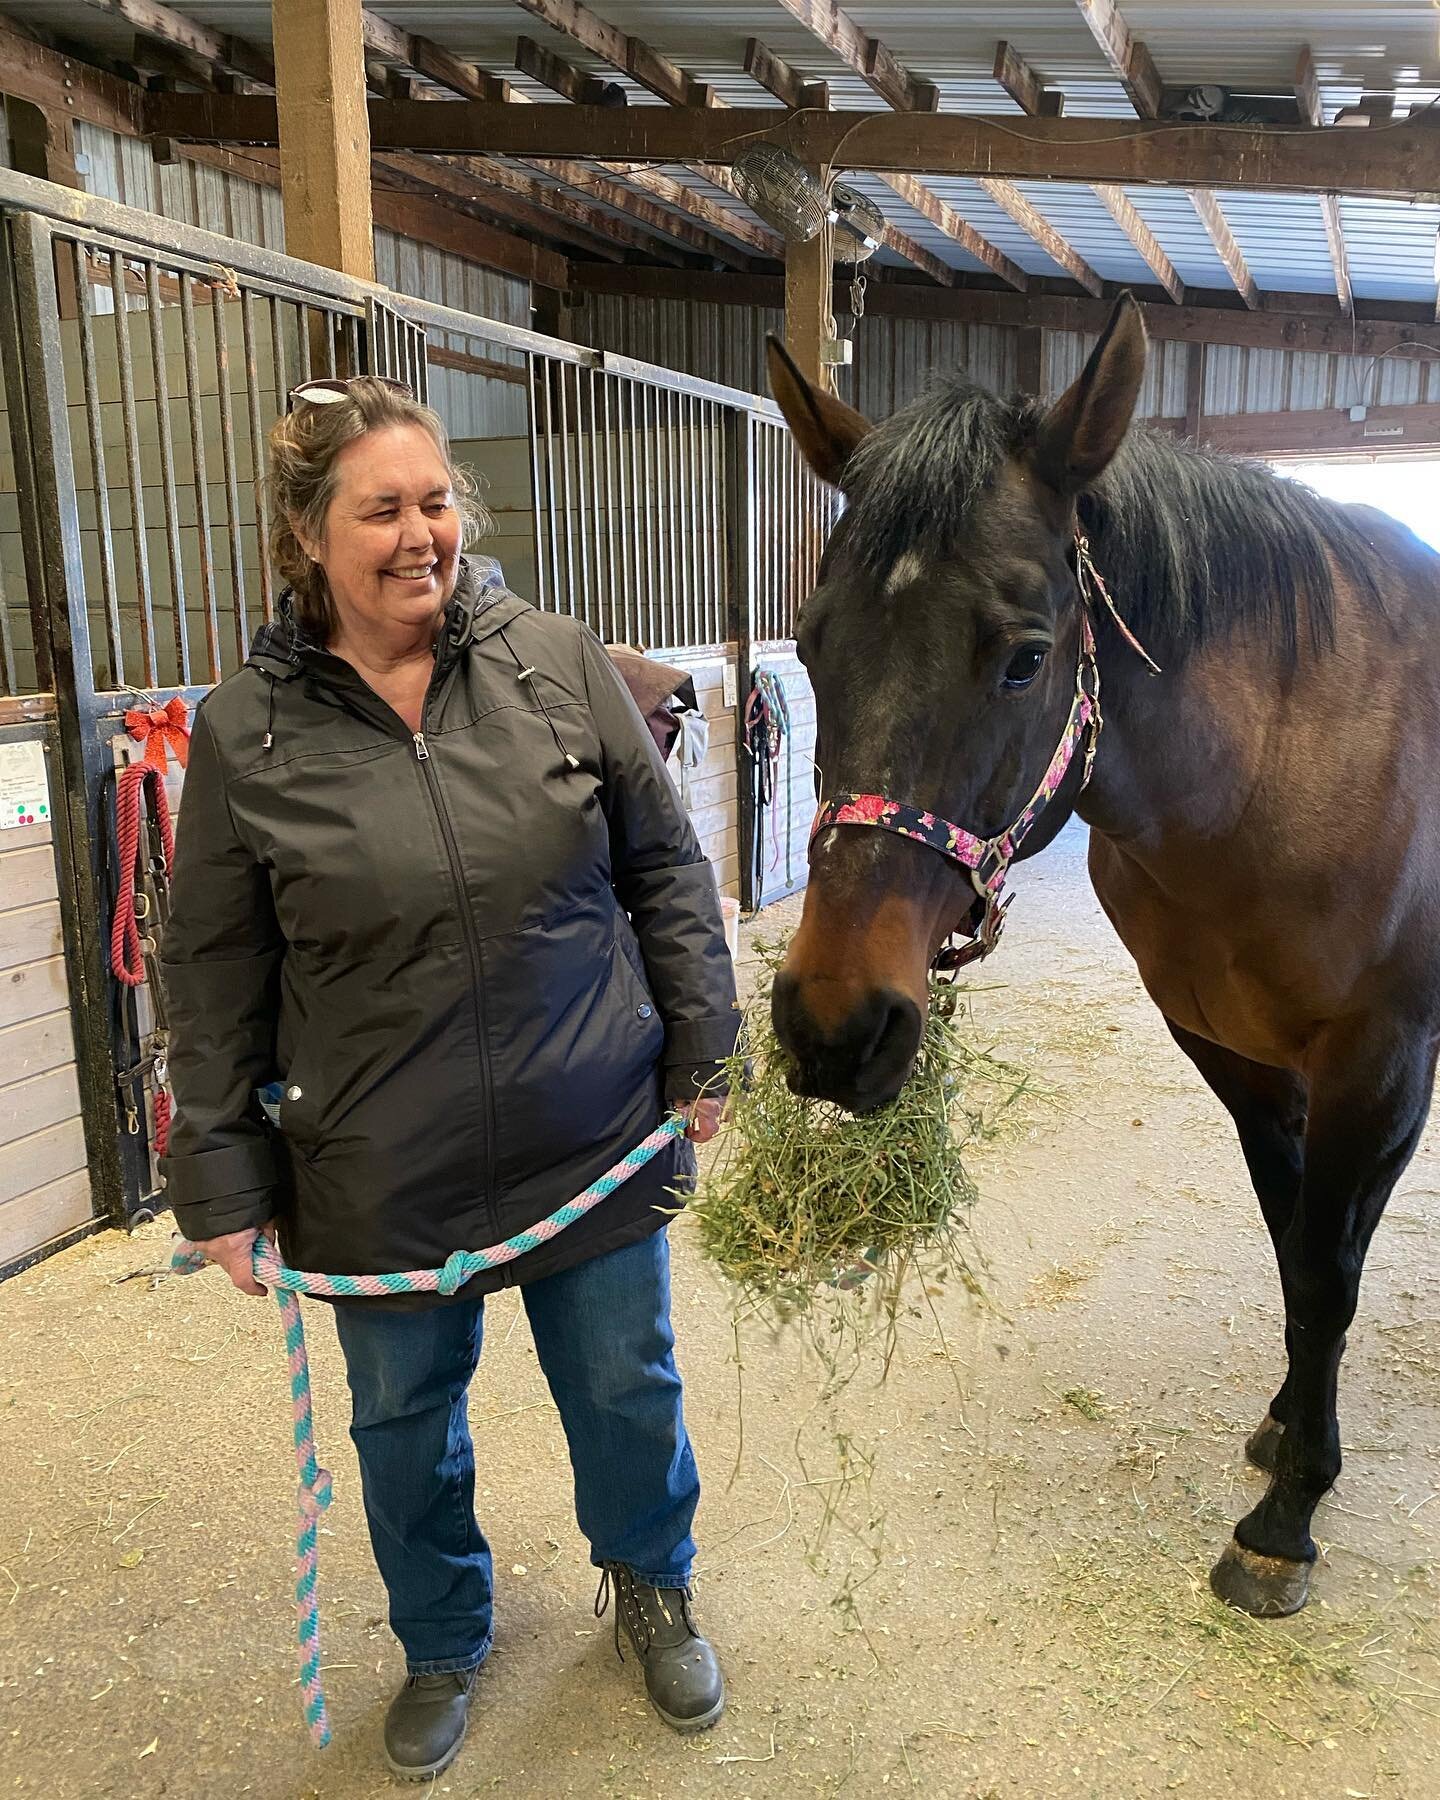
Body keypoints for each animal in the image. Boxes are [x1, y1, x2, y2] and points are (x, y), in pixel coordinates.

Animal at [763, 295, 1440, 1620]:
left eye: (1026, 655)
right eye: (810, 646)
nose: (833, 1026)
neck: (1294, 756)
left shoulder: (1378, 1059)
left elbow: (1326, 1275)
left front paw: (1285, 1523)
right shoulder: (1240, 1057)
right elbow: (1299, 1252)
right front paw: (1289, 1436)